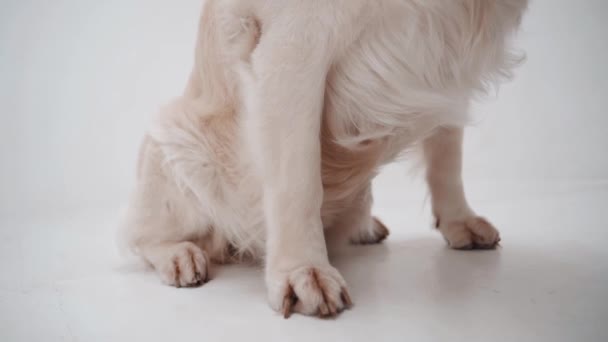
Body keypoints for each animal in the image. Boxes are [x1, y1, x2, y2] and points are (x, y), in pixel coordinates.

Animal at [122, 0, 528, 318]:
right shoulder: (296, 42)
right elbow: (298, 181)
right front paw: (303, 272)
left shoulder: (446, 49)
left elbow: (447, 149)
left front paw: (459, 220)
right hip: (175, 141)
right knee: (139, 235)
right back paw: (179, 256)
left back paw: (365, 227)